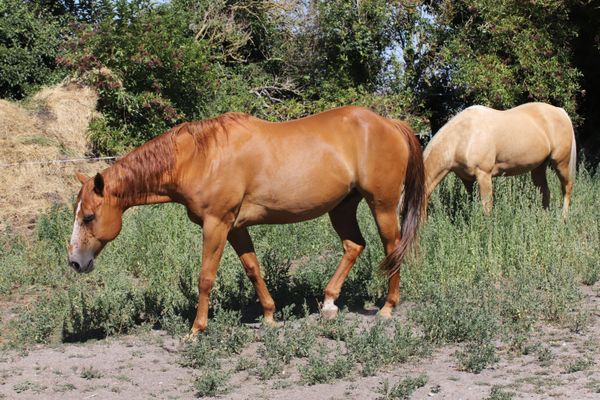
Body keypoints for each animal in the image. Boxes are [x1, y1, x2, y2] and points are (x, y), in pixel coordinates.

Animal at [68, 106, 426, 334]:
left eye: (88, 216)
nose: (75, 262)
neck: (199, 157)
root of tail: (389, 124)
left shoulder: (217, 224)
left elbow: (205, 277)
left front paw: (196, 330)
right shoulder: (236, 228)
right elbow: (254, 269)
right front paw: (269, 316)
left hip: (382, 205)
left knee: (392, 249)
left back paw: (387, 307)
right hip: (342, 207)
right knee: (354, 245)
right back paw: (328, 303)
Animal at [424, 101, 576, 217]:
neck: (462, 136)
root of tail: (561, 111)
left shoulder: (484, 175)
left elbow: (487, 208)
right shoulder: (467, 180)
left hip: (561, 163)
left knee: (567, 188)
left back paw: (563, 219)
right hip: (538, 168)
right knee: (545, 192)